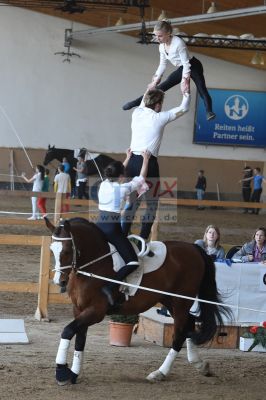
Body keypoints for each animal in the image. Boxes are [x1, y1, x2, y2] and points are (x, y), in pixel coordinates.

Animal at [45, 217, 231, 386]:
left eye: (67, 251)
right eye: (52, 250)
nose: (59, 281)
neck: (94, 266)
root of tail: (194, 248)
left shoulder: (96, 311)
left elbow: (68, 331)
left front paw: (61, 372)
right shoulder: (79, 309)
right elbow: (80, 339)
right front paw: (74, 374)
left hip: (180, 302)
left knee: (179, 334)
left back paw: (160, 373)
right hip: (170, 300)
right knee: (189, 325)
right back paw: (200, 365)